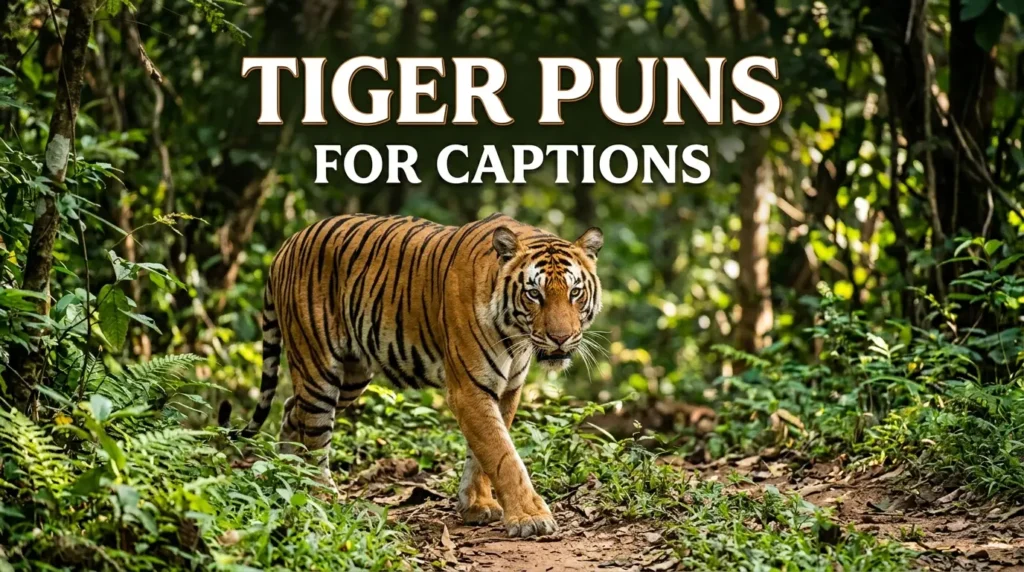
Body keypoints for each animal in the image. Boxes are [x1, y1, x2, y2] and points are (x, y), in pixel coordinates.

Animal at [220, 212, 603, 538]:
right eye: (534, 294)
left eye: (574, 292)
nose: (561, 338)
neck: (515, 336)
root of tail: (286, 244)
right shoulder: (470, 388)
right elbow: (503, 455)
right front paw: (530, 517)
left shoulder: (507, 388)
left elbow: (484, 453)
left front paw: (477, 504)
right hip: (319, 367)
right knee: (314, 433)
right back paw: (319, 494)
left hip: (352, 376)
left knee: (290, 410)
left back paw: (288, 475)